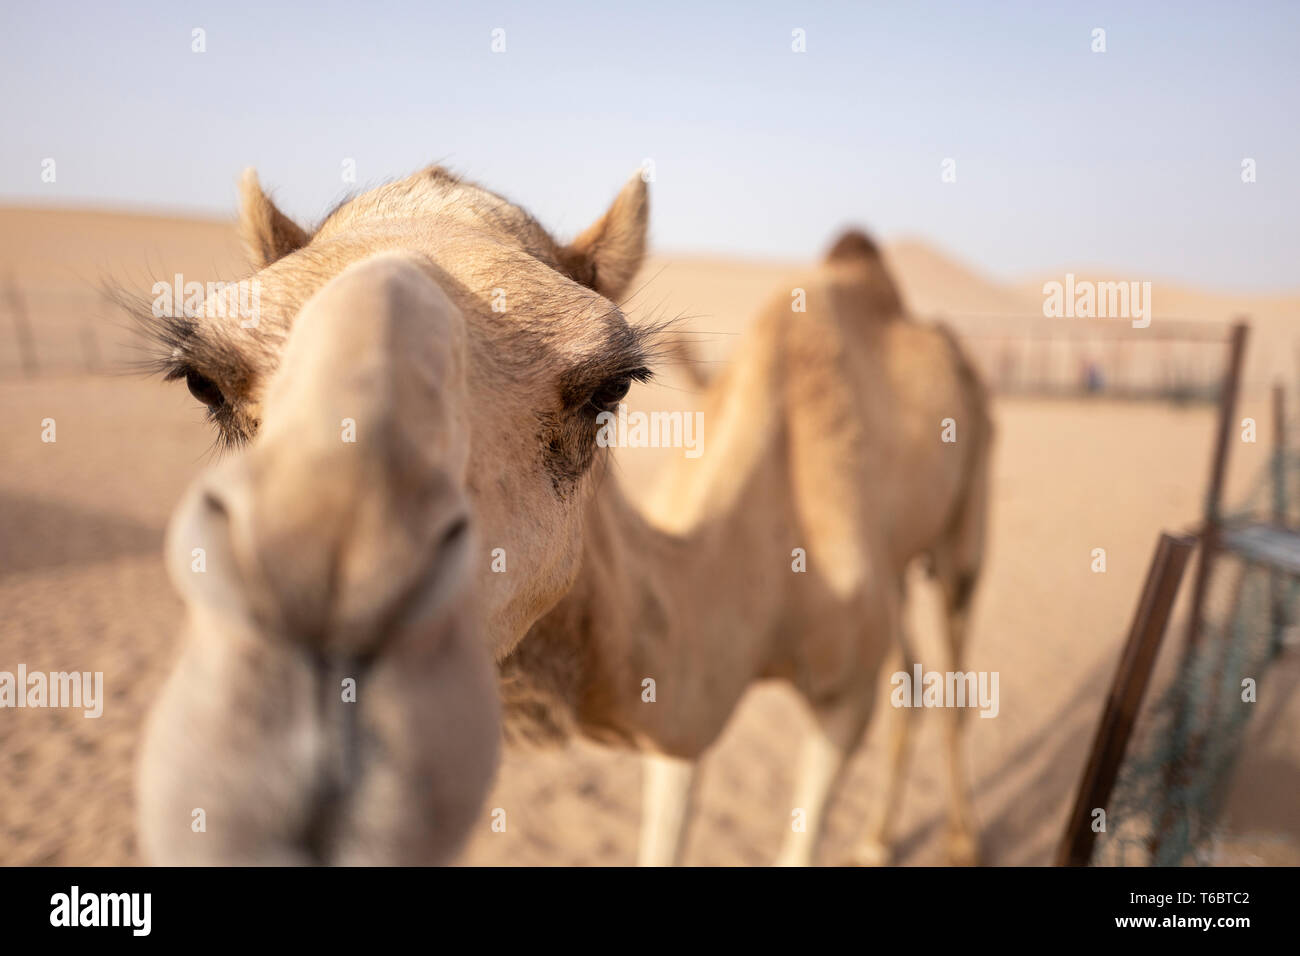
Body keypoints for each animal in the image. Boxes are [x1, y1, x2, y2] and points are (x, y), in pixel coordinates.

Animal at [137, 164, 987, 868]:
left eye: (610, 386)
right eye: (206, 384)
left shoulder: (844, 697)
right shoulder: (680, 726)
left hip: (961, 532)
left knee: (949, 668)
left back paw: (955, 840)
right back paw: (879, 840)